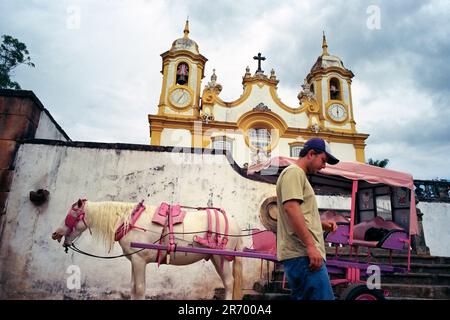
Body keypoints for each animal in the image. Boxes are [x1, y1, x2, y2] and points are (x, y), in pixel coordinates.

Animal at [51, 199, 243, 298]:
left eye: (72, 212)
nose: (55, 233)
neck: (129, 221)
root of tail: (235, 223)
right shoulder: (135, 261)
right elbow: (133, 288)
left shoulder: (139, 260)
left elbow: (140, 288)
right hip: (216, 258)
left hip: (220, 257)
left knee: (229, 283)